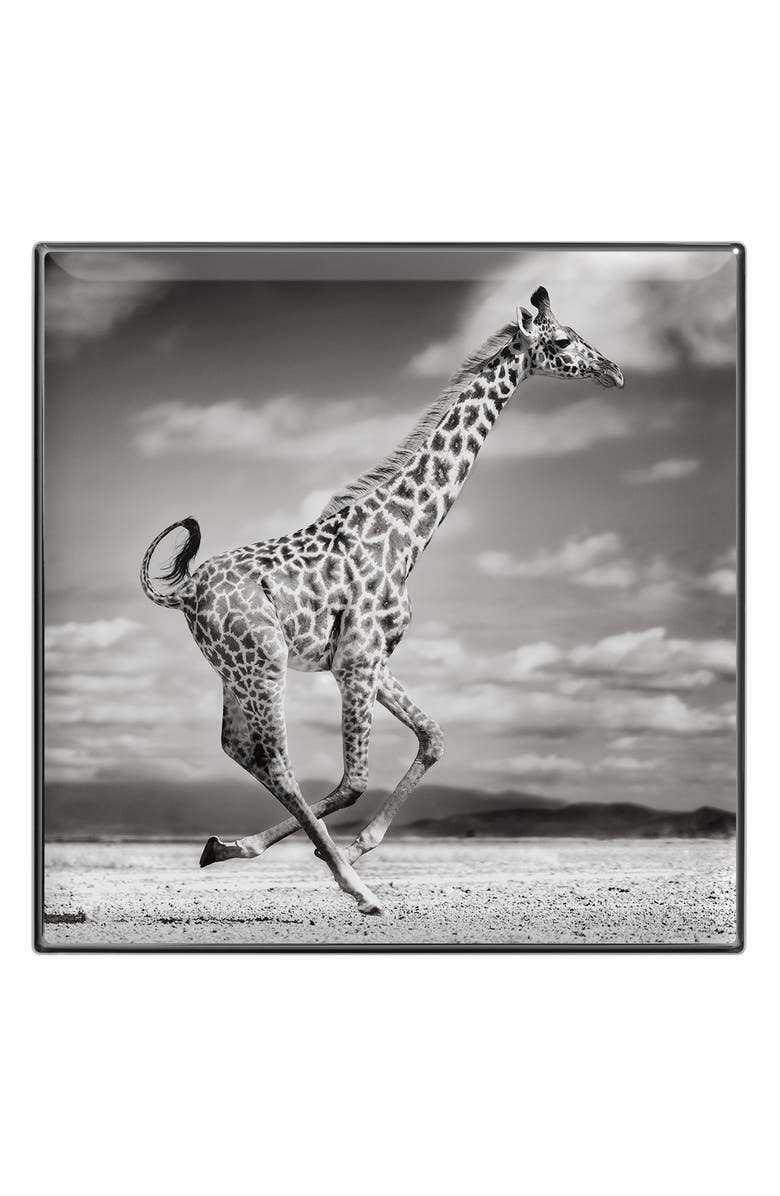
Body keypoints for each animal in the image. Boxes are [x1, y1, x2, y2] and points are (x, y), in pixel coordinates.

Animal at [140, 286, 624, 916]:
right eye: (562, 340)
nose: (615, 371)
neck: (407, 534)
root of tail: (184, 592)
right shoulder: (356, 662)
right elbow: (354, 780)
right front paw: (347, 861)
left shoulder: (371, 658)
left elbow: (433, 737)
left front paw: (351, 846)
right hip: (263, 663)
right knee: (276, 759)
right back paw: (357, 888)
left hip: (234, 670)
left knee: (239, 748)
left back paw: (227, 847)